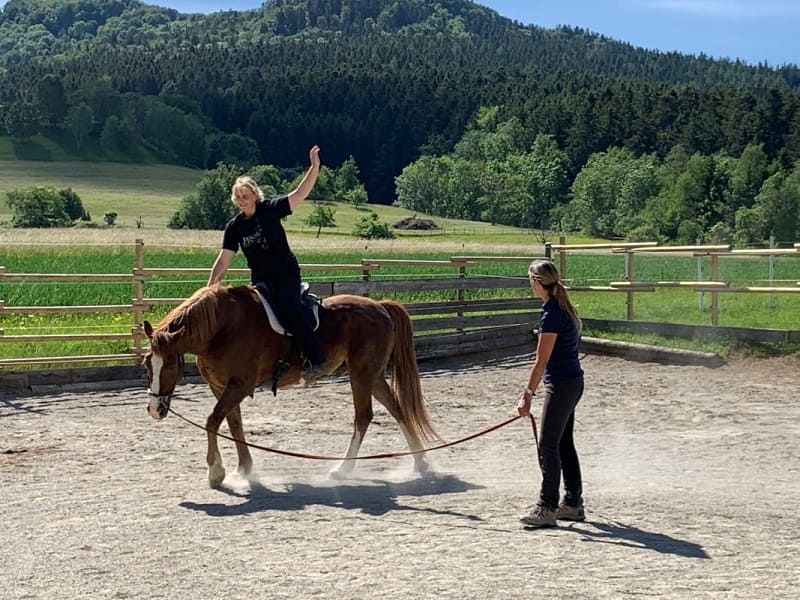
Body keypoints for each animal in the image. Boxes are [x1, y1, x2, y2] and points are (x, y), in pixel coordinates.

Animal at [145, 284, 444, 486]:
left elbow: (212, 421)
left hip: (361, 375)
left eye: (169, 365)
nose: (155, 410)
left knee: (364, 417)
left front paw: (216, 472)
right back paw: (421, 462)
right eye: (148, 364)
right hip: (372, 376)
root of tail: (380, 307)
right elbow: (233, 424)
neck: (222, 329)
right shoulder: (221, 387)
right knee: (397, 409)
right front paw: (244, 469)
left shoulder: (239, 386)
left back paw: (343, 469)